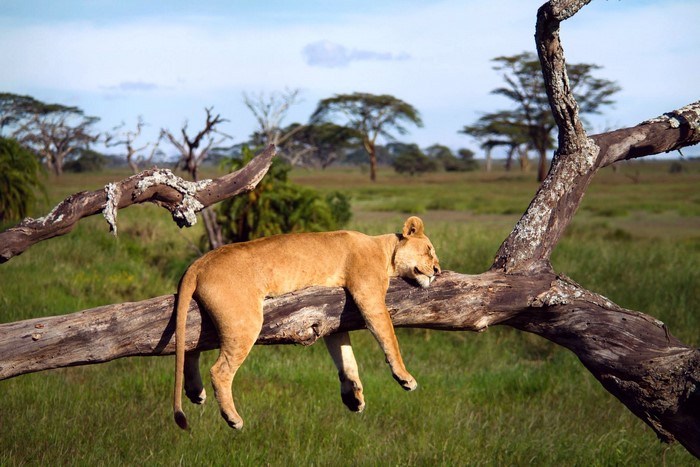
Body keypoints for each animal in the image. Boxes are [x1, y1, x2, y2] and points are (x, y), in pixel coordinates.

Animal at [173, 216, 440, 430]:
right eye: (429, 250)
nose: (437, 270)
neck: (384, 251)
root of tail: (199, 262)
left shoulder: (333, 319)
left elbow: (345, 355)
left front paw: (353, 397)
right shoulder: (369, 294)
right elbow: (389, 337)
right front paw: (405, 377)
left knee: (190, 348)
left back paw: (195, 393)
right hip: (244, 320)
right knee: (219, 370)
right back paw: (233, 418)